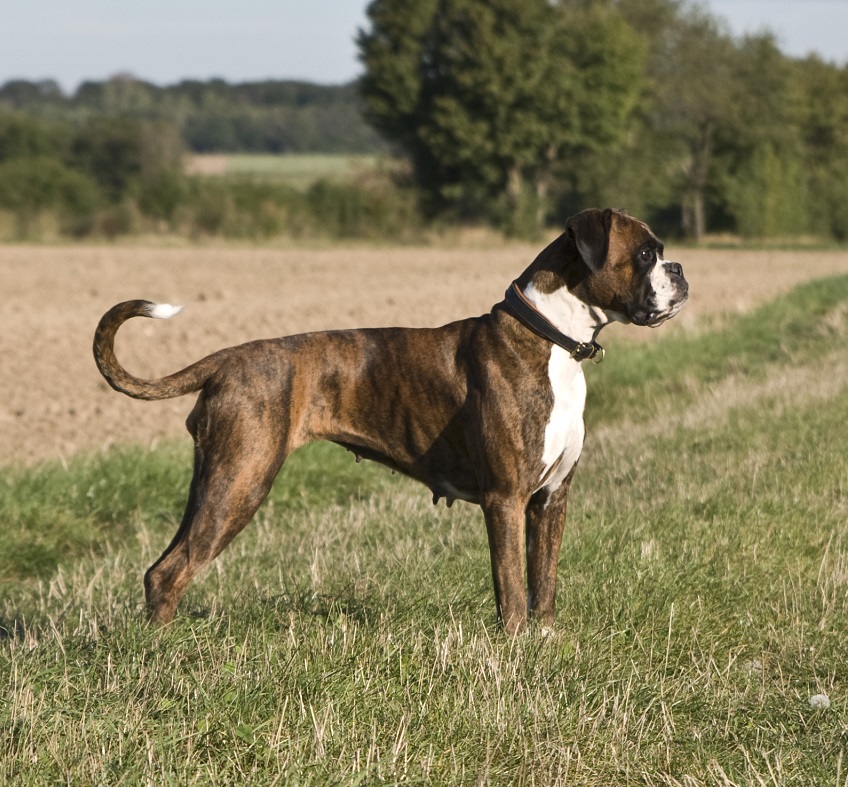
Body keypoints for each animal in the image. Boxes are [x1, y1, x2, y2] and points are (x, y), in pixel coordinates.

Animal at [94, 208, 688, 636]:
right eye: (645, 253)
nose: (680, 269)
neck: (550, 338)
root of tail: (224, 361)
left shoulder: (550, 499)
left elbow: (543, 583)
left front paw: (544, 641)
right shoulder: (506, 499)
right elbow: (513, 589)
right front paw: (515, 647)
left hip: (213, 480)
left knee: (161, 566)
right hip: (241, 481)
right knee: (172, 571)